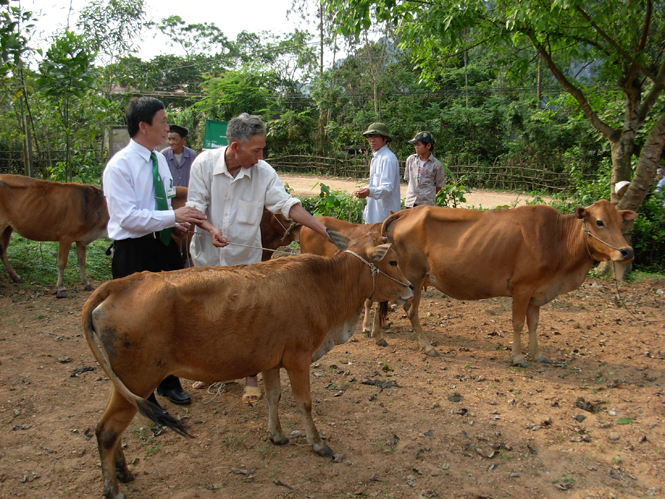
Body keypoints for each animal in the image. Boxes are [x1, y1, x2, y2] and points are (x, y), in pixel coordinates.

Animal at [81, 231, 410, 499]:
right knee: (107, 431)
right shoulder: (298, 358)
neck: (325, 284)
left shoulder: (271, 360)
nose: (409, 287)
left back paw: (123, 472)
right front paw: (318, 444)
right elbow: (304, 403)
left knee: (110, 428)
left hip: (125, 383)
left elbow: (274, 397)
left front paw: (277, 435)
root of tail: (121, 283)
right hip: (139, 378)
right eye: (393, 261)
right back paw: (113, 488)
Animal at [384, 201, 640, 366]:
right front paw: (517, 357)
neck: (557, 238)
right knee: (411, 310)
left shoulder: (537, 292)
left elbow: (534, 324)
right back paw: (427, 346)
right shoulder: (522, 288)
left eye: (620, 222)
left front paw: (537, 355)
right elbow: (517, 323)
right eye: (599, 222)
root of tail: (403, 214)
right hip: (414, 278)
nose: (627, 251)